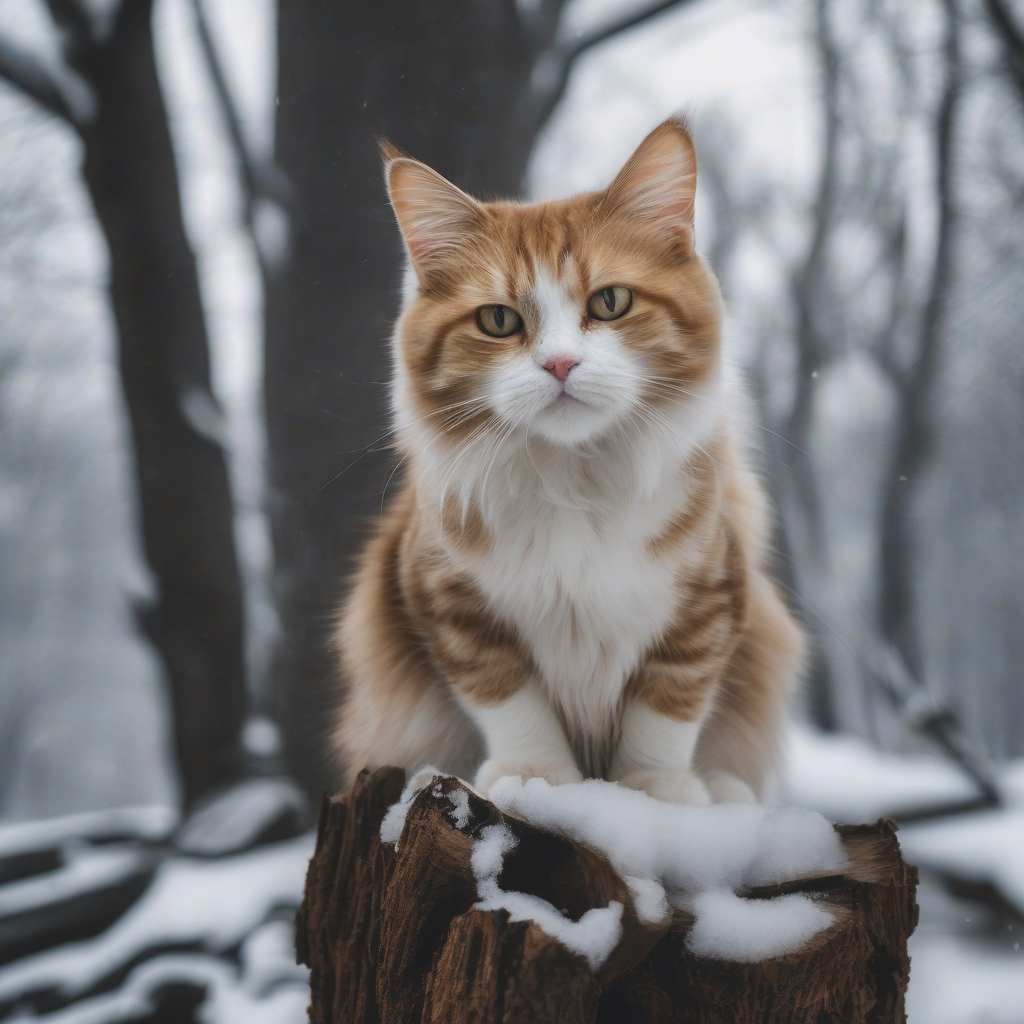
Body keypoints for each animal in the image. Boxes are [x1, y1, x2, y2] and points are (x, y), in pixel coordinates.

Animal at [331, 119, 802, 802]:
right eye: (498, 320)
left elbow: (668, 704)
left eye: (610, 303)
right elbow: (508, 694)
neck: (574, 477)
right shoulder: (446, 600)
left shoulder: (711, 597)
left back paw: (721, 788)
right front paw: (536, 775)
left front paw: (653, 787)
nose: (559, 364)